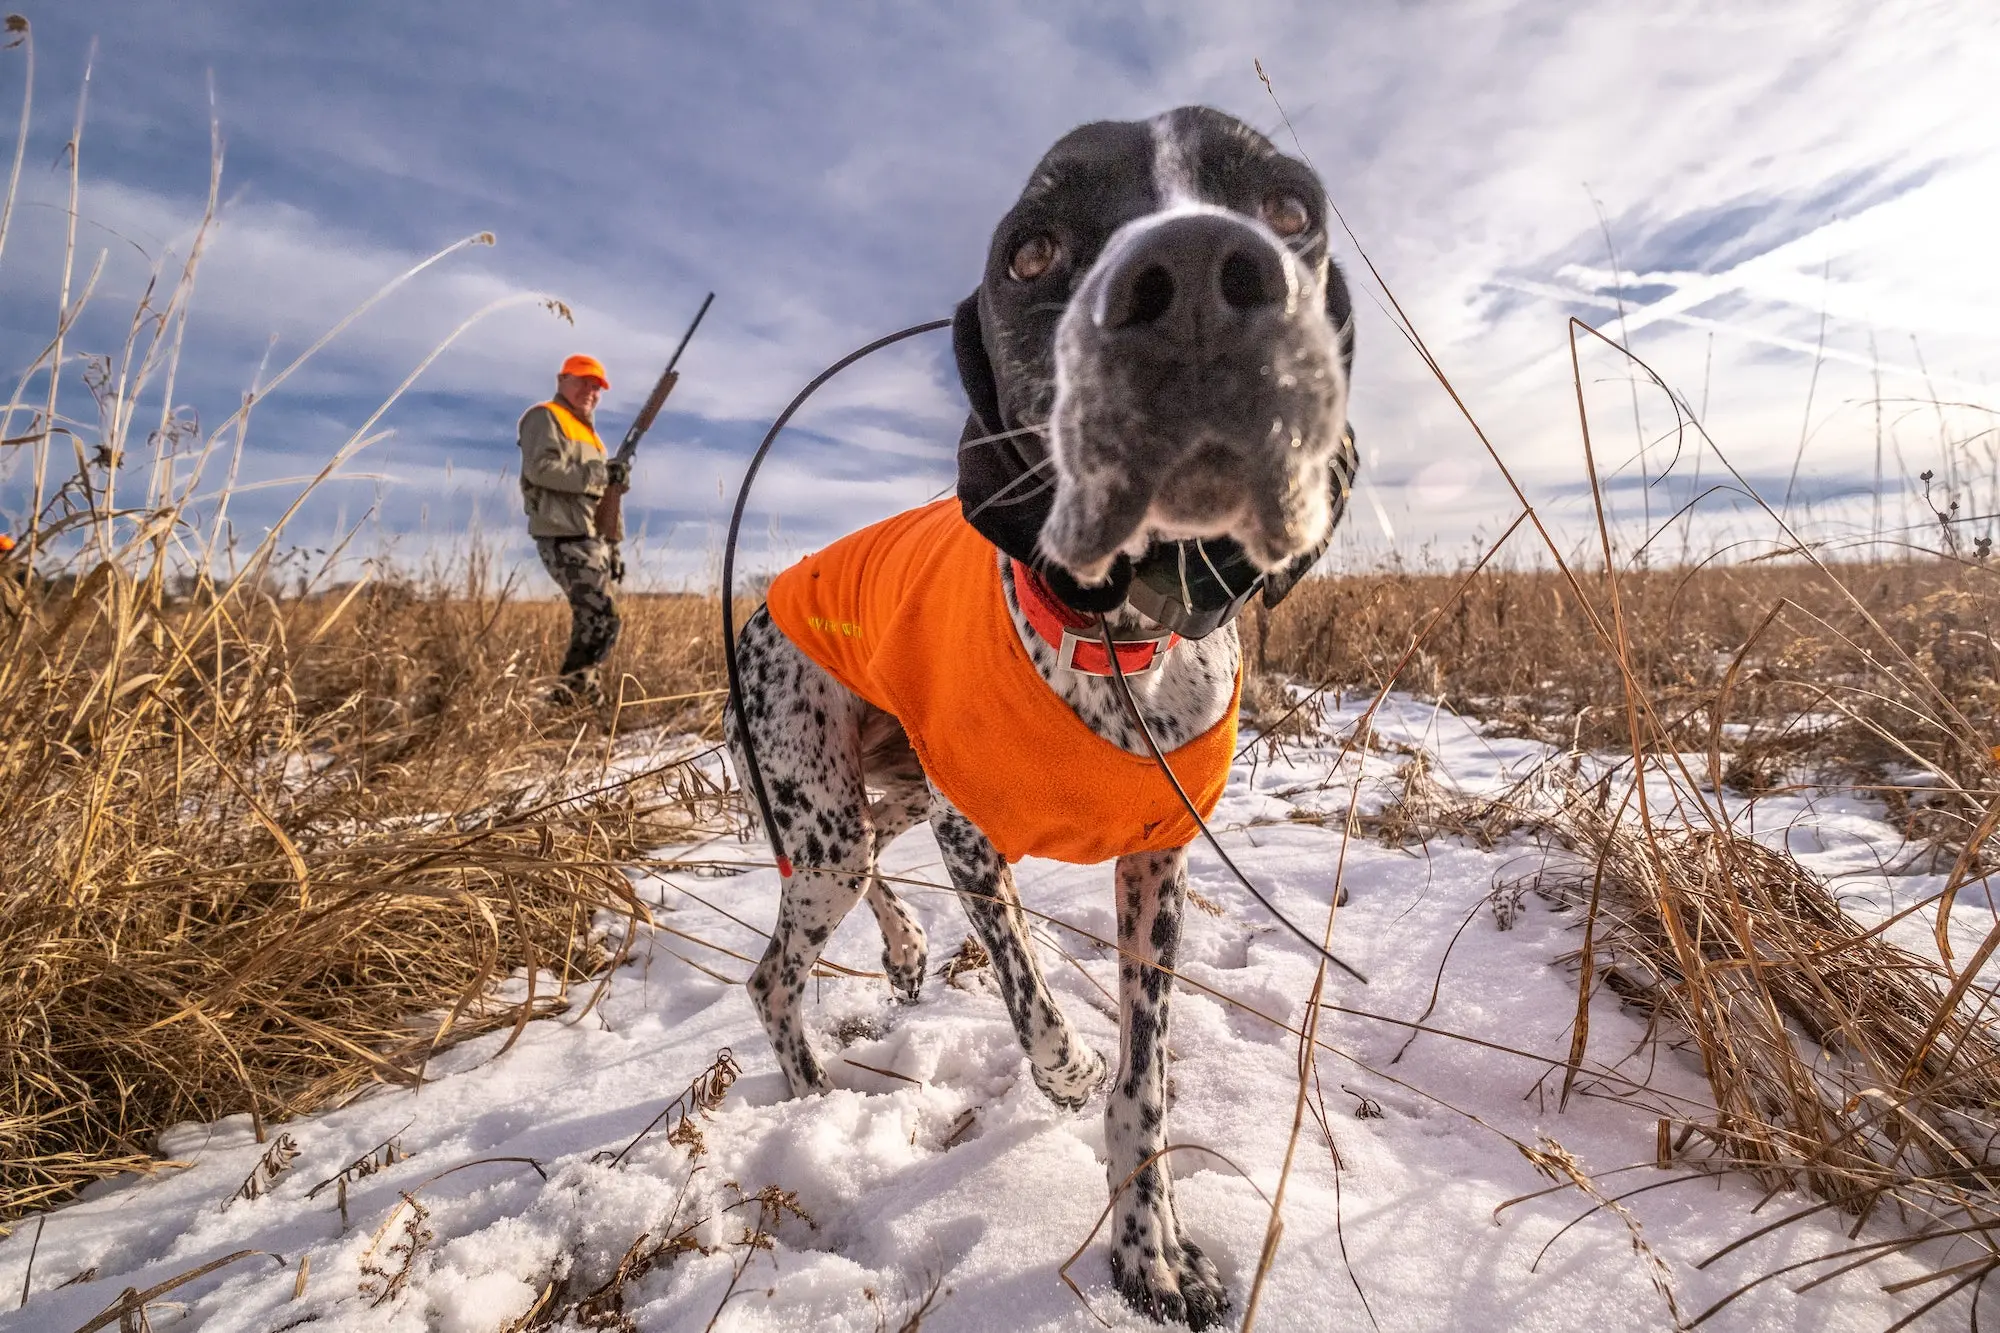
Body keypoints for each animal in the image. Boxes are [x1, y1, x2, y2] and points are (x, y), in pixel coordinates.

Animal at [728, 104, 1352, 1320]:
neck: (1121, 645)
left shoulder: (1156, 867)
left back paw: (904, 952)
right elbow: (1035, 1001)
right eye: (1030, 250)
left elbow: (1143, 1088)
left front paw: (1151, 1250)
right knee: (774, 969)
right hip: (824, 823)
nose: (1198, 277)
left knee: (869, 873)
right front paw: (1066, 1071)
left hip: (875, 798)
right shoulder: (975, 842)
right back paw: (814, 1085)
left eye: (1290, 207)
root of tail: (759, 601)